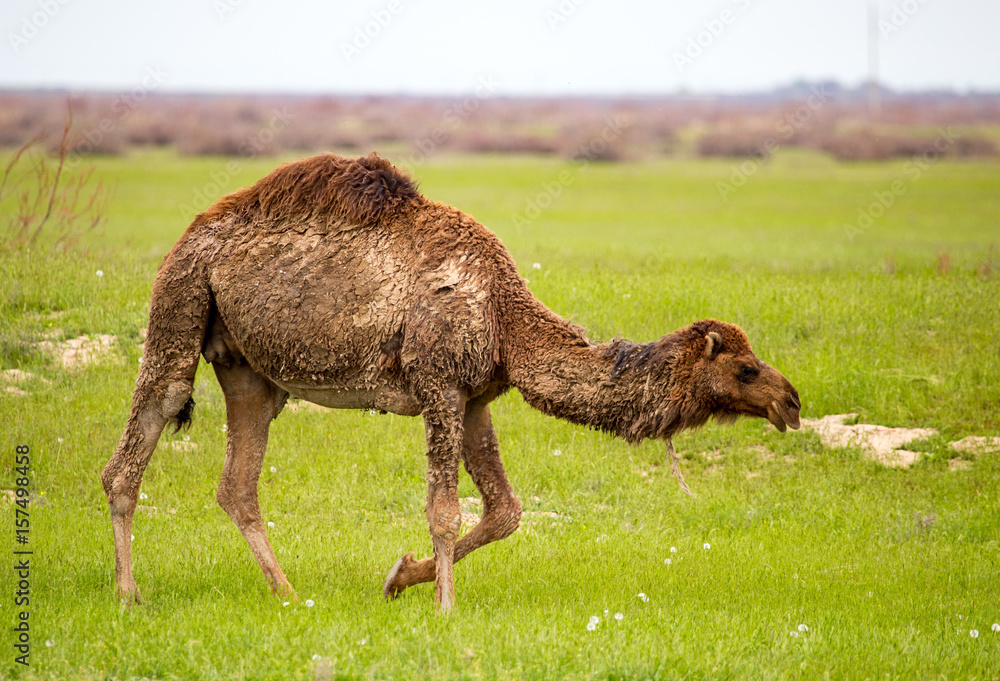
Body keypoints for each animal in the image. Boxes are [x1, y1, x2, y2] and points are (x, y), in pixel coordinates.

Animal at [101, 152, 801, 612]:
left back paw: (288, 593)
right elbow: (444, 508)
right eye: (745, 368)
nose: (790, 402)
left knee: (238, 485)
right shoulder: (438, 384)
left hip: (248, 370)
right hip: (180, 300)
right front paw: (444, 609)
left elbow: (505, 510)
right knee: (141, 437)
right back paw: (130, 593)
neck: (504, 314)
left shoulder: (476, 397)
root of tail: (192, 233)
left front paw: (398, 577)